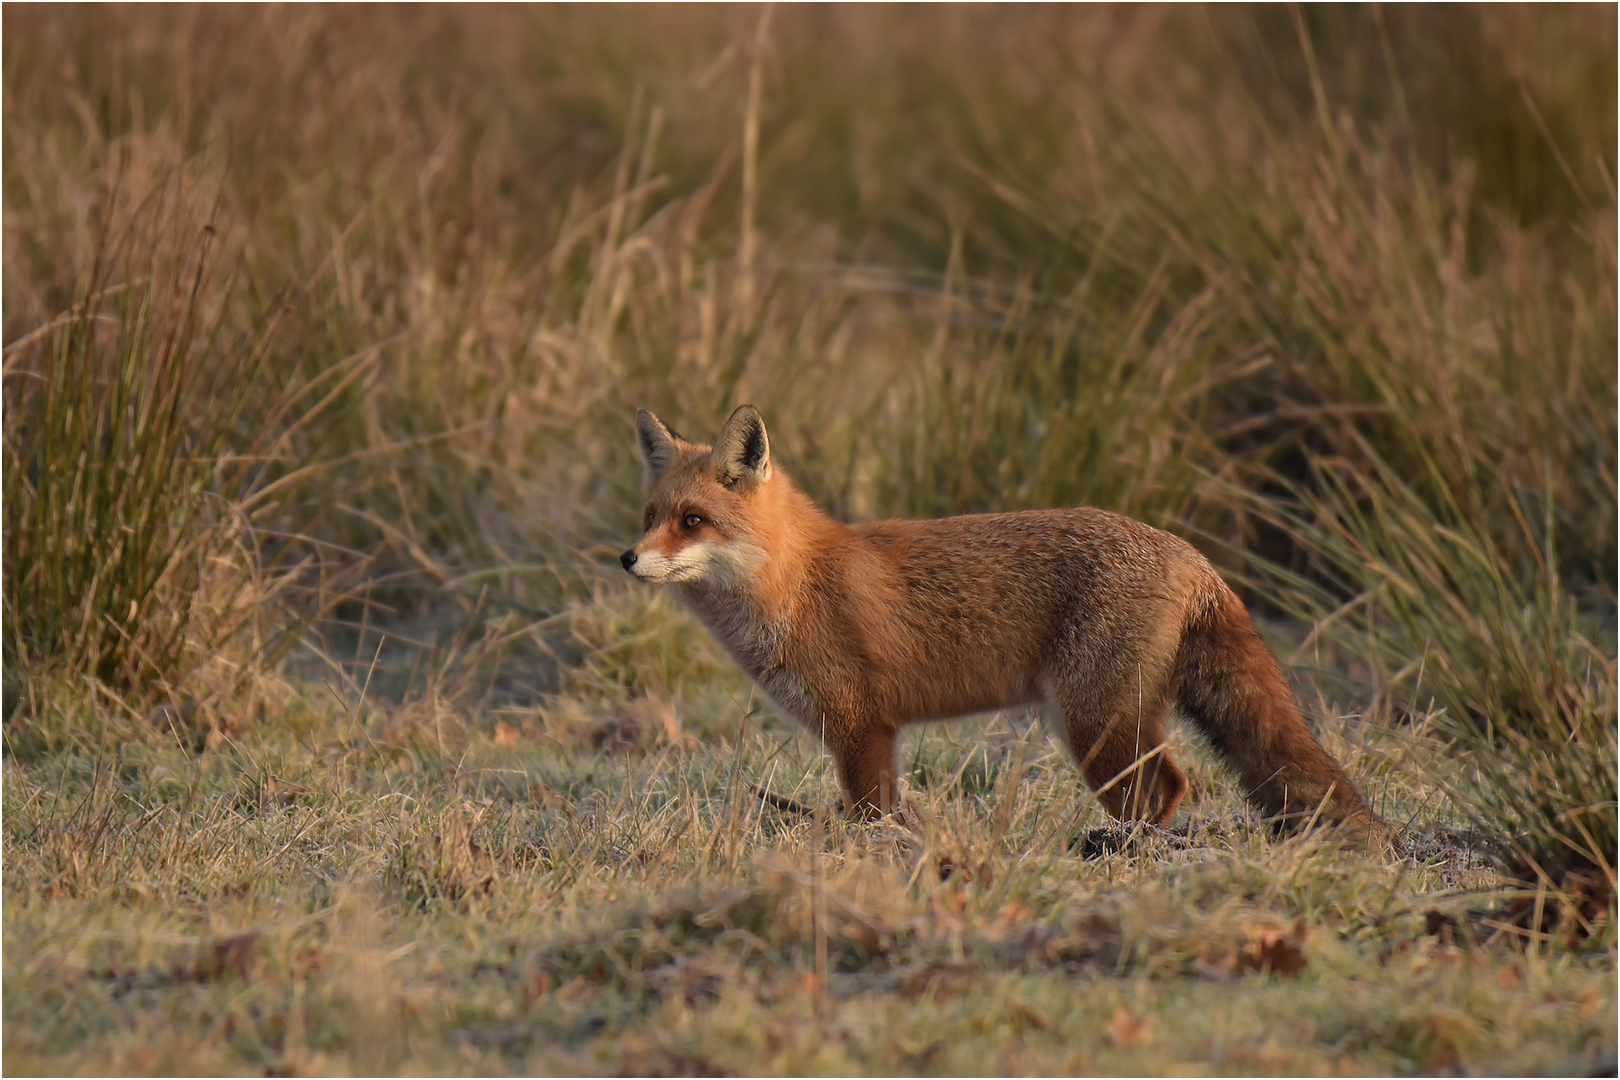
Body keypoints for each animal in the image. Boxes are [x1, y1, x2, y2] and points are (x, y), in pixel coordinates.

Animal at [618, 403, 1380, 835]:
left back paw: (1126, 856)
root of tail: (1193, 554)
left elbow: (869, 817)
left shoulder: (861, 727)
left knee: (1165, 791)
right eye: (650, 516)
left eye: (693, 521)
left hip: (1093, 725)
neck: (796, 582)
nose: (626, 558)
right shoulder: (873, 734)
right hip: (1110, 721)